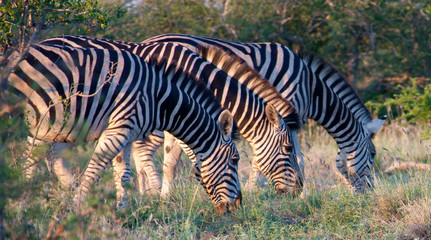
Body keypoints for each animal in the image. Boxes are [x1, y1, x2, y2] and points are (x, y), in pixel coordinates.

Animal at [7, 43, 243, 214]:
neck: (158, 99)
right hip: (40, 118)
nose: (238, 206)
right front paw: (77, 208)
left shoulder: (127, 135)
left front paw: (123, 211)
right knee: (30, 161)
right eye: (235, 159)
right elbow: (94, 171)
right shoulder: (117, 130)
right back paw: (25, 204)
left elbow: (123, 173)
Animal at [38, 36, 306, 197]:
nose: (299, 189)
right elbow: (177, 158)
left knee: (53, 156)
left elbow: (169, 159)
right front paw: (165, 195)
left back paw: (67, 190)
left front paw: (162, 195)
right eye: (287, 147)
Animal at [138, 33, 388, 192]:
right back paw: (152, 192)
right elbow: (281, 157)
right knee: (144, 151)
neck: (311, 88)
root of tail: (148, 41)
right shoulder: (286, 113)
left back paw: (144, 194)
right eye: (373, 154)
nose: (369, 192)